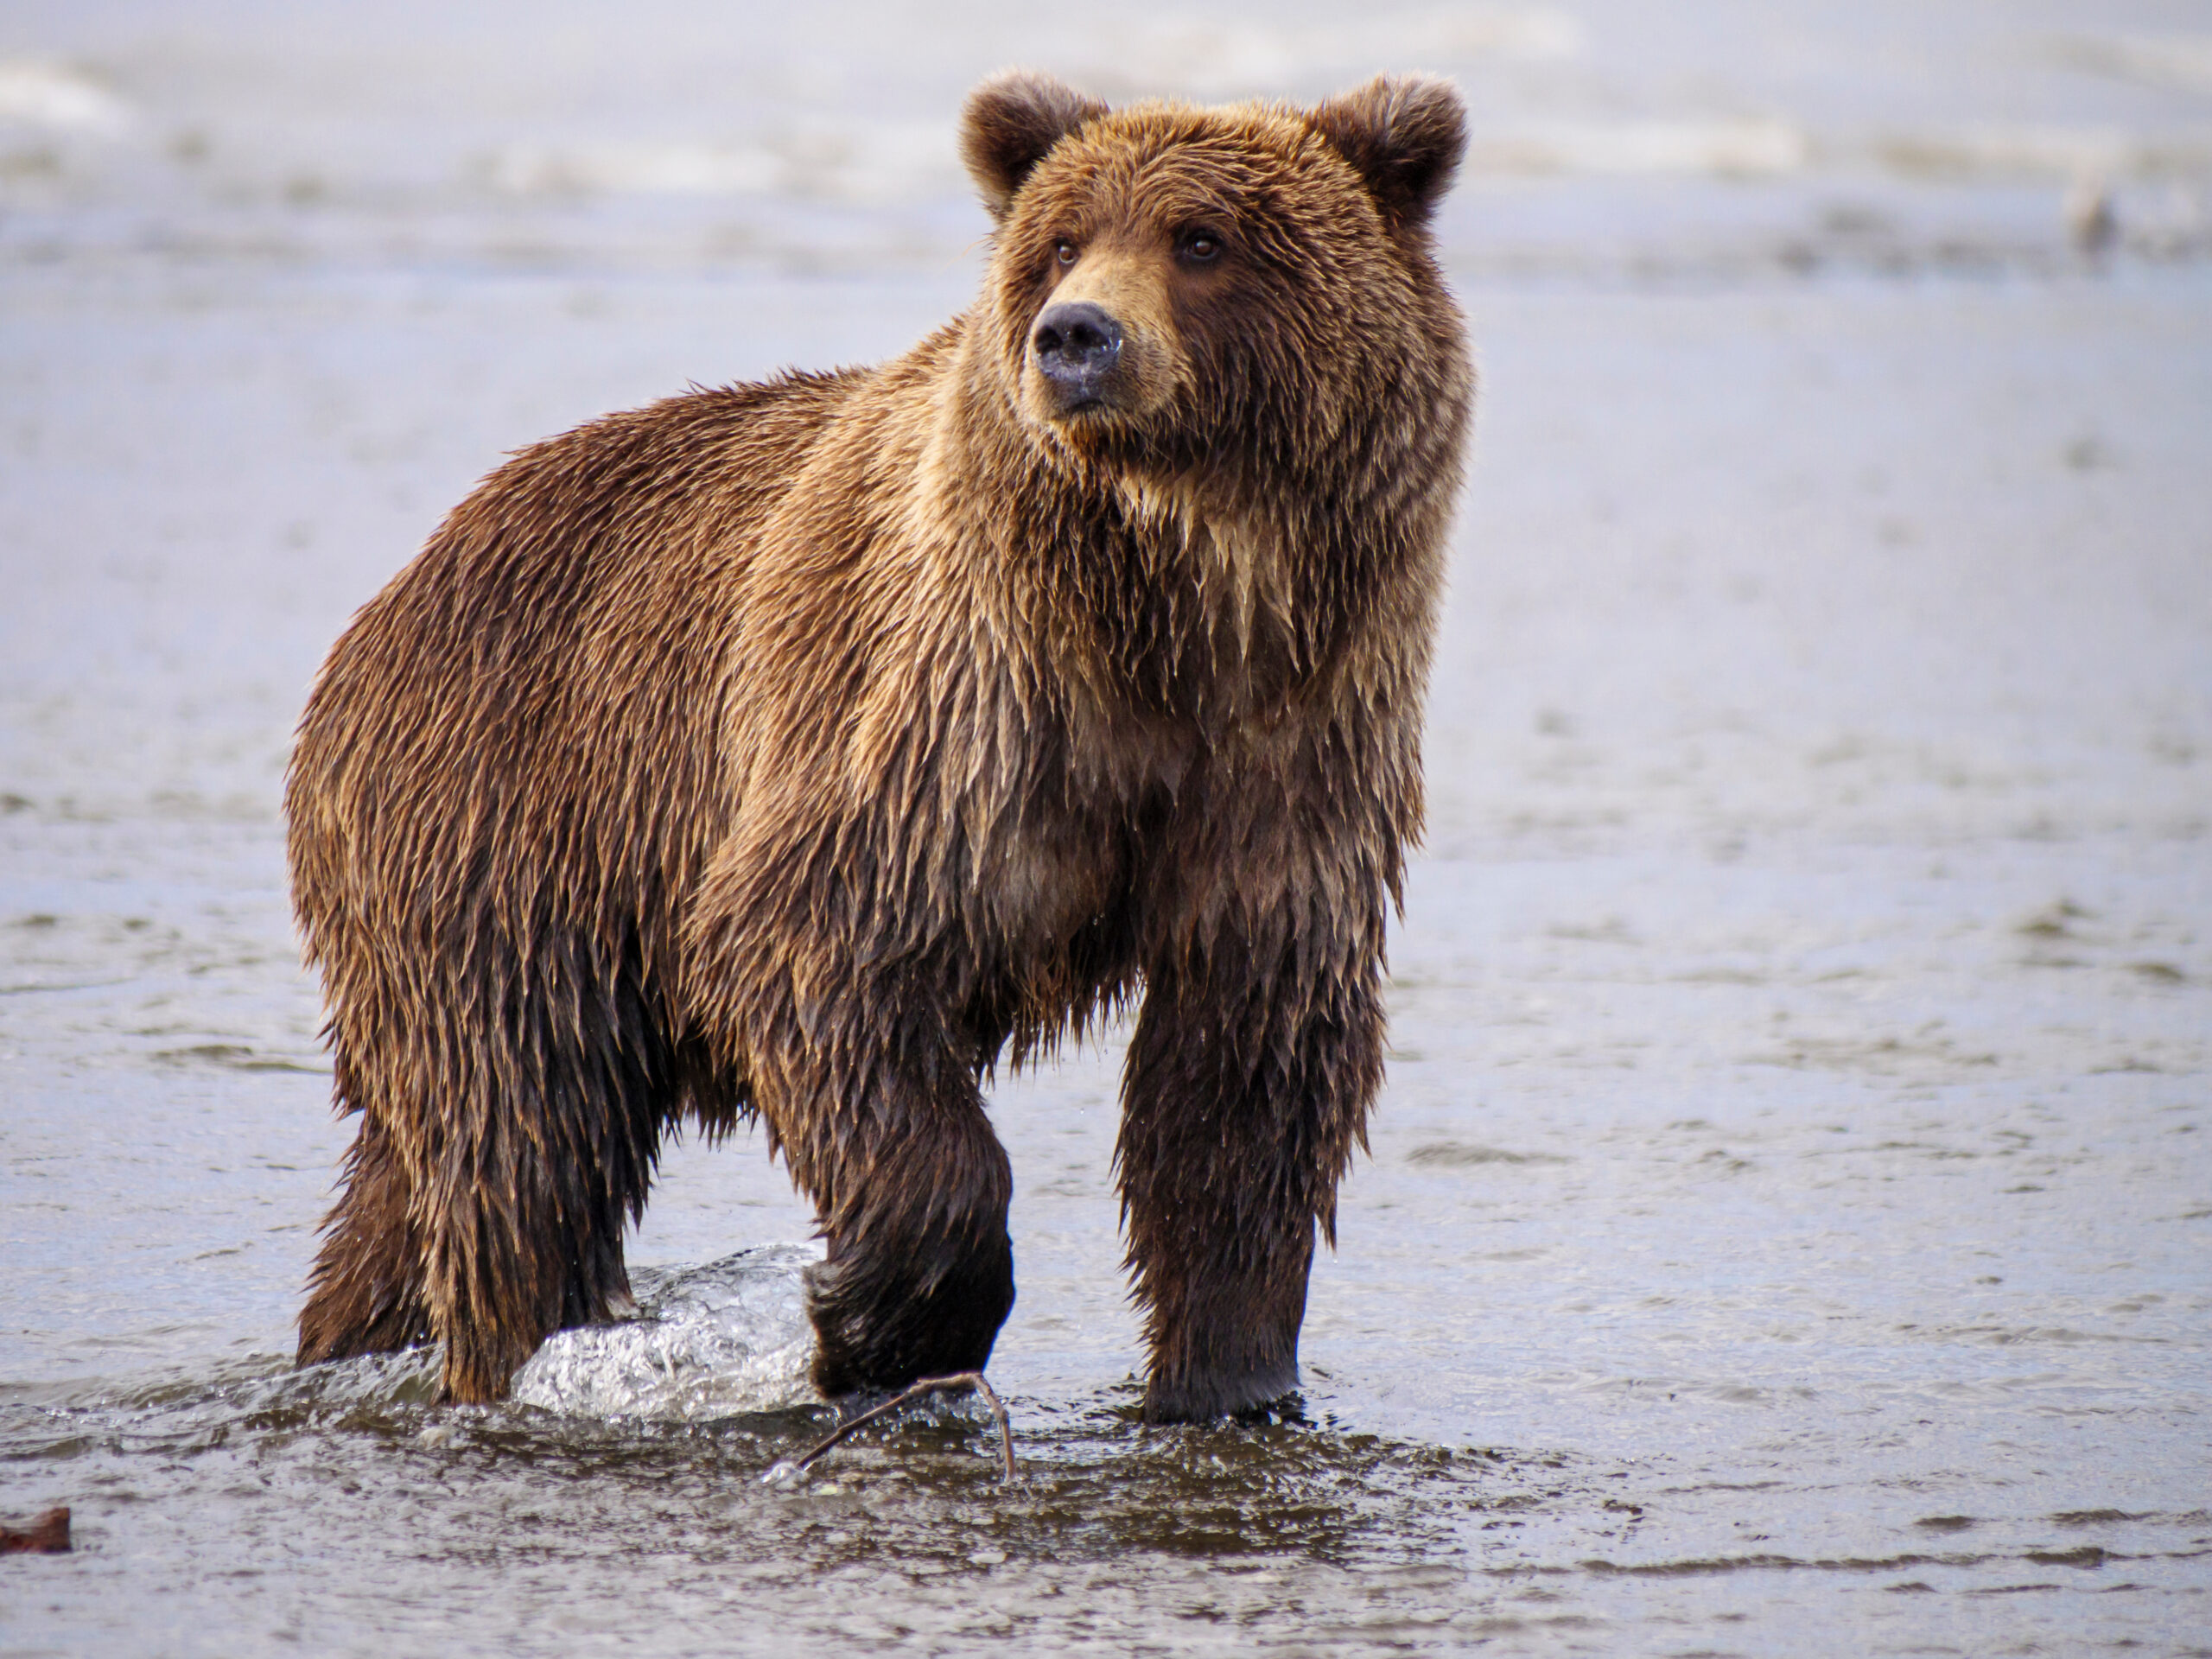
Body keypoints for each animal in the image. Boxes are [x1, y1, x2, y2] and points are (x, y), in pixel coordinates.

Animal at [289, 68, 1468, 1433]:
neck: (1171, 604)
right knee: (524, 1133)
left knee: (404, 1183)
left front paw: (1229, 1375)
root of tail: (398, 587)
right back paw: (519, 1355)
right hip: (506, 823)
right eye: (1059, 241)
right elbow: (820, 954)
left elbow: (1245, 1071)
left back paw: (352, 1339)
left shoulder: (1288, 755)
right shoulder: (953, 722)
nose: (1076, 336)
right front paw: (866, 1322)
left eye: (1203, 239)